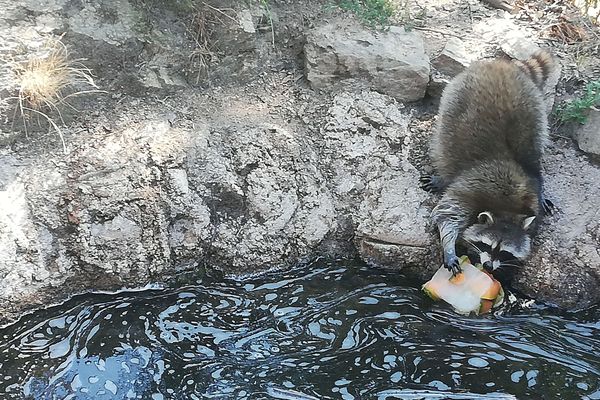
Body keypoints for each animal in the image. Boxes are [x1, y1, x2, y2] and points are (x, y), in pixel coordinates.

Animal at [420, 51, 556, 276]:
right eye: (487, 246)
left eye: (505, 252)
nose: (488, 267)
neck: (507, 211)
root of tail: (502, 65)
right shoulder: (469, 191)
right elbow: (446, 215)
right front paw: (449, 247)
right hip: (455, 97)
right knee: (443, 140)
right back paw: (443, 176)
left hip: (536, 107)